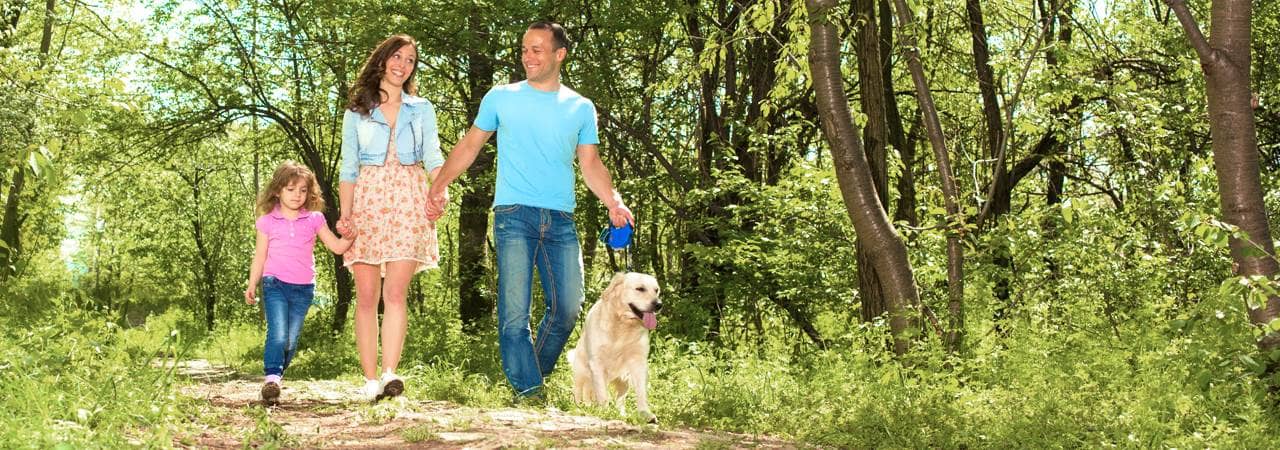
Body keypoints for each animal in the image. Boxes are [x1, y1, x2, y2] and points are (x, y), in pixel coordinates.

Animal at [573, 272, 665, 424]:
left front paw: (645, 413)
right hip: (580, 371)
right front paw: (604, 411)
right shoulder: (597, 362)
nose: (658, 304)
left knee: (620, 399)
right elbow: (602, 393)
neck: (623, 323)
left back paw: (621, 413)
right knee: (579, 390)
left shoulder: (639, 362)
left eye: (656, 290)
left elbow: (641, 392)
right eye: (640, 289)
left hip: (624, 379)